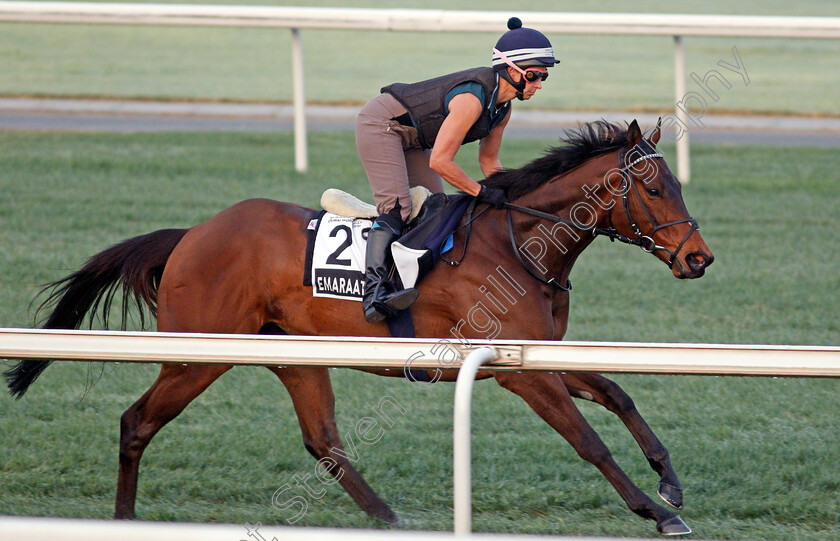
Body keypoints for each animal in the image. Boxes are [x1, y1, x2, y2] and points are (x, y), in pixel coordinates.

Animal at [4, 119, 716, 536]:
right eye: (655, 189)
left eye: (679, 183)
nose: (698, 258)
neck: (518, 244)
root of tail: (192, 235)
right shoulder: (518, 371)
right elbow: (588, 442)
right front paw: (656, 512)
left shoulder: (534, 353)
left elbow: (618, 393)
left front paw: (670, 480)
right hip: (197, 355)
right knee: (136, 423)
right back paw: (124, 519)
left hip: (293, 354)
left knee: (324, 442)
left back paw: (391, 518)